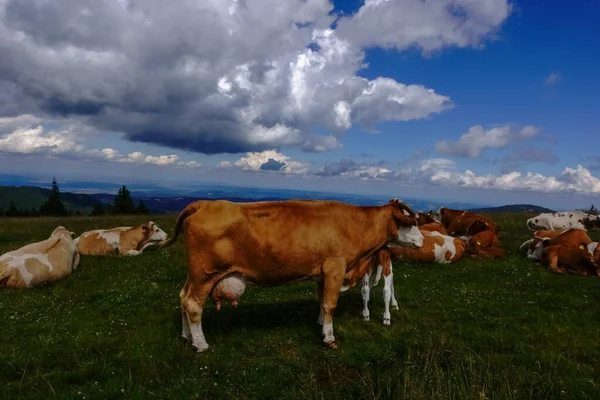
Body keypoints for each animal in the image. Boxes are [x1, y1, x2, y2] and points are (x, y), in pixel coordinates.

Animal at [157, 198, 424, 352]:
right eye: (411, 224)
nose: (422, 240)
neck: (356, 224)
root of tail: (204, 204)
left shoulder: (323, 272)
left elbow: (321, 300)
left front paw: (320, 324)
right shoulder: (335, 267)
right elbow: (330, 304)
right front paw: (329, 337)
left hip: (195, 274)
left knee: (183, 298)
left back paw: (186, 336)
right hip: (205, 274)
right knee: (193, 305)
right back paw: (201, 344)